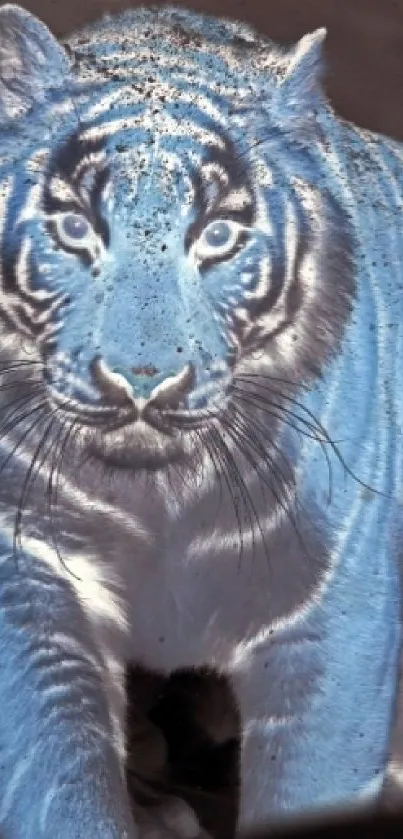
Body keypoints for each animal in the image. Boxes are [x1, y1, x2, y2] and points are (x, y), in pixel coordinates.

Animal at [0, 2, 403, 837]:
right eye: (76, 229)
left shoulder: (336, 618)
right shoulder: (32, 578)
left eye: (217, 235)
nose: (141, 379)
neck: (160, 499)